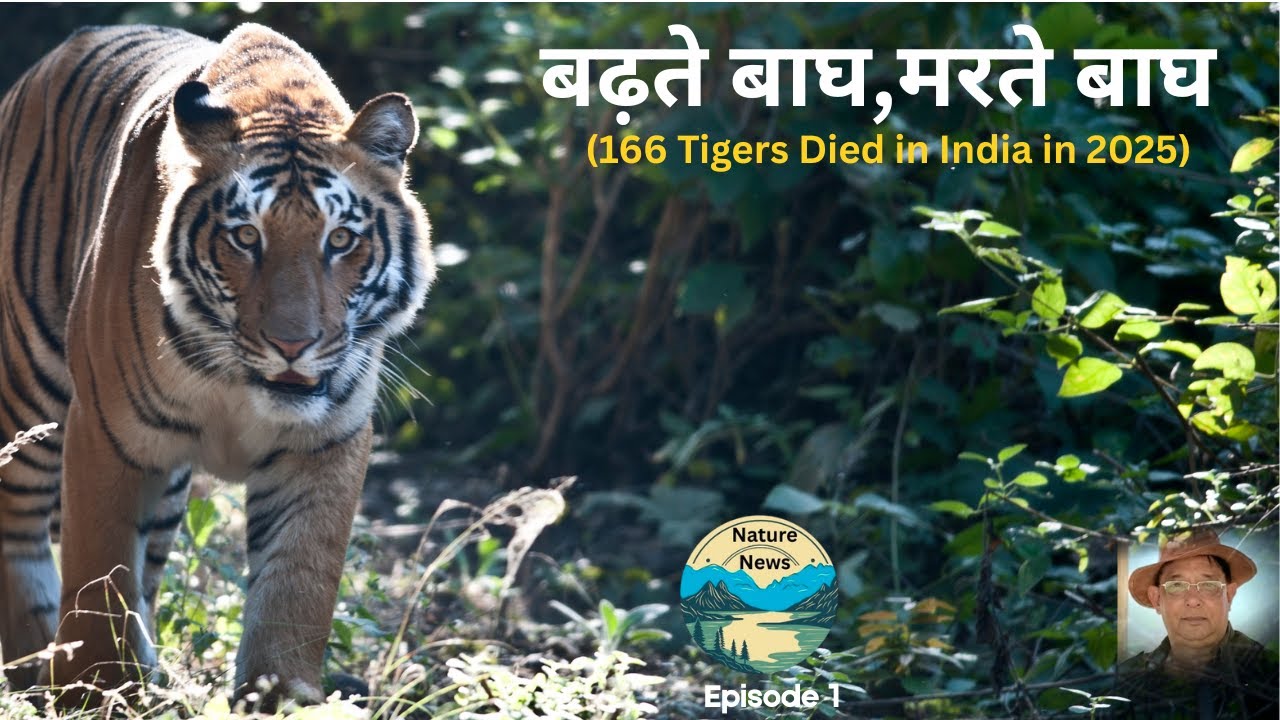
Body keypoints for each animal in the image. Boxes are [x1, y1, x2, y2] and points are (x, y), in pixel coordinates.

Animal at [0, 23, 435, 704]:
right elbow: (98, 573)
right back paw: (33, 666)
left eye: (340, 240)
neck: (240, 383)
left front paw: (282, 697)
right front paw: (91, 691)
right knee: (17, 527)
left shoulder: (325, 443)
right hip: (30, 388)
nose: (293, 344)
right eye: (245, 238)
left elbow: (297, 588)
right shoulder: (105, 433)